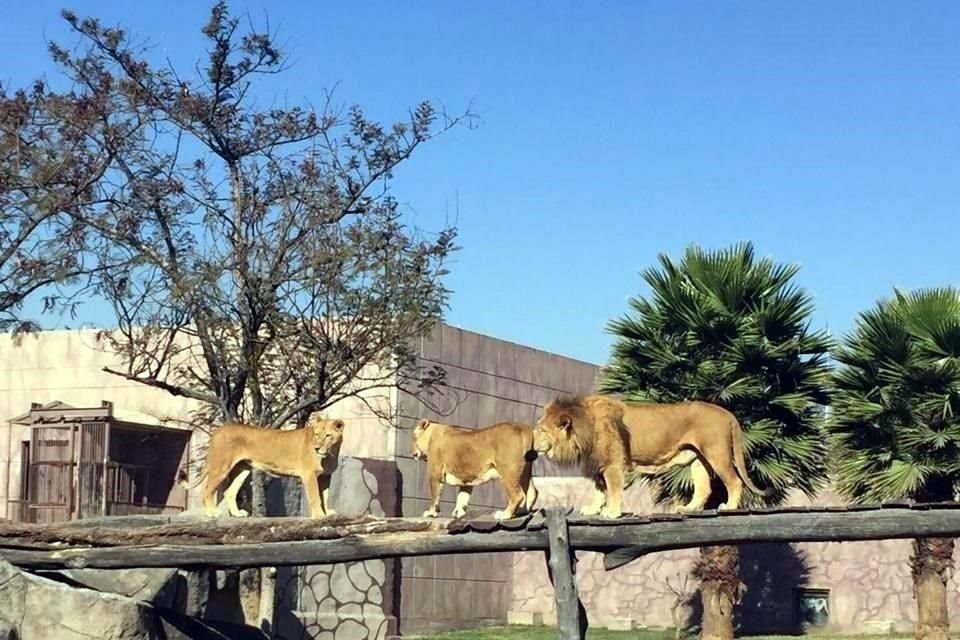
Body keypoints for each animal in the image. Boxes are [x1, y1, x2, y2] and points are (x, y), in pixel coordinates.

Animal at [180, 416, 344, 520]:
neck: (331, 453)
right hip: (221, 466)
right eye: (317, 434)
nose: (316, 448)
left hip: (242, 469)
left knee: (229, 491)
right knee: (207, 489)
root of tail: (218, 430)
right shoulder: (309, 474)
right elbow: (315, 497)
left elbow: (325, 496)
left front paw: (328, 513)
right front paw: (319, 516)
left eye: (328, 435)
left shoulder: (325, 476)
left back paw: (237, 514)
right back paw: (211, 513)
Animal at [408, 420, 536, 520]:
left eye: (414, 437)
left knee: (517, 495)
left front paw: (431, 513)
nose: (412, 454)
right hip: (525, 472)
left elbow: (435, 496)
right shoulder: (467, 479)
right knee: (531, 493)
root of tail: (523, 428)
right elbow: (463, 497)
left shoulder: (435, 474)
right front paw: (459, 513)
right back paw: (522, 511)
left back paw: (505, 515)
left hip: (507, 471)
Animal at [532, 396, 772, 520]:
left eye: (541, 430)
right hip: (698, 459)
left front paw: (612, 512)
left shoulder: (612, 464)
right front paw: (593, 509)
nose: (531, 444)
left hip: (717, 453)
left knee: (734, 481)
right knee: (704, 488)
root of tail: (728, 414)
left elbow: (613, 490)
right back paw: (688, 509)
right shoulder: (599, 463)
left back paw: (729, 507)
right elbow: (598, 490)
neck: (584, 428)